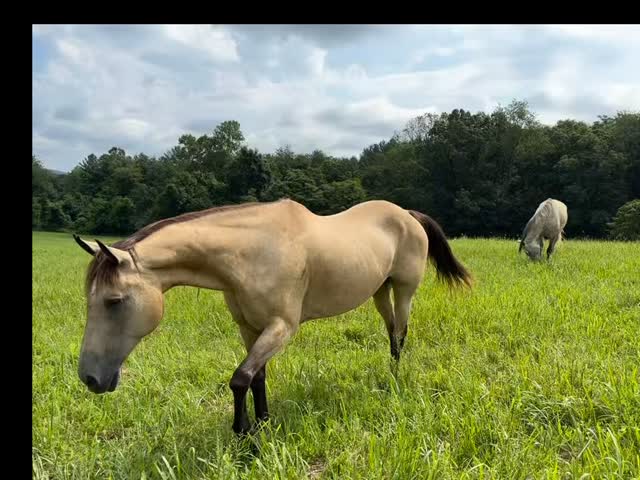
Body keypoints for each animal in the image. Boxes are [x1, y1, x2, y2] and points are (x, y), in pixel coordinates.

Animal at [73, 199, 472, 435]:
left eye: (114, 300)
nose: (90, 378)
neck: (252, 252)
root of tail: (406, 214)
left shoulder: (281, 328)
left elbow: (240, 379)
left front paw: (243, 433)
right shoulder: (250, 328)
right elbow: (257, 377)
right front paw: (263, 423)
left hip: (404, 290)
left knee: (401, 332)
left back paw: (394, 381)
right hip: (380, 291)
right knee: (391, 332)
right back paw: (388, 374)